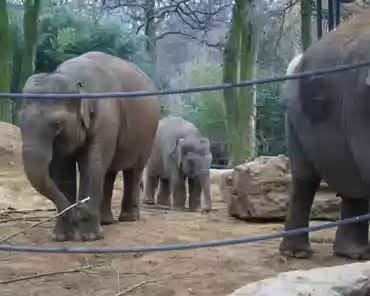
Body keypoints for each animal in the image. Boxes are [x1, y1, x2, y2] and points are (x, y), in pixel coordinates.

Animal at [19, 51, 160, 242]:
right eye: (20, 121)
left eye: (57, 124)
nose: (74, 216)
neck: (73, 78)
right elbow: (63, 169)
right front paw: (62, 237)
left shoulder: (106, 117)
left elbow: (91, 164)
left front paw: (89, 237)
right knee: (109, 172)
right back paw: (106, 221)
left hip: (148, 134)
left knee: (134, 170)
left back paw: (128, 218)